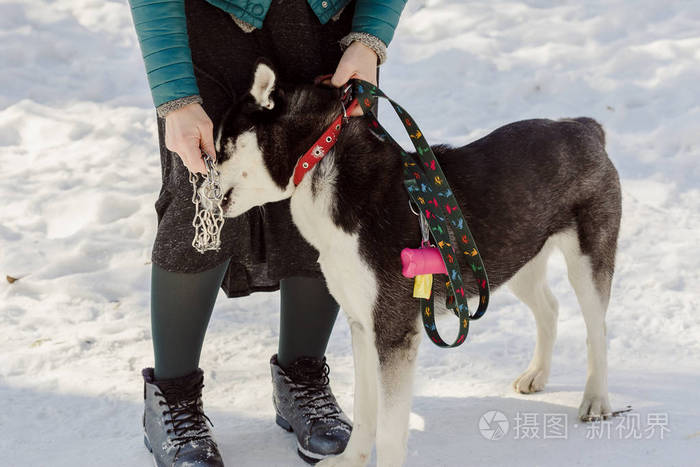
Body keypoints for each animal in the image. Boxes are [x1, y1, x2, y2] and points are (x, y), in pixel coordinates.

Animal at [211, 63, 620, 467]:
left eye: (223, 148)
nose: (202, 182)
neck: (321, 162)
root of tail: (583, 127)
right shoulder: (363, 325)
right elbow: (364, 412)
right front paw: (351, 460)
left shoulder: (393, 332)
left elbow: (390, 431)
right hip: (510, 260)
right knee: (549, 308)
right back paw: (537, 374)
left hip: (586, 262)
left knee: (597, 328)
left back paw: (596, 398)